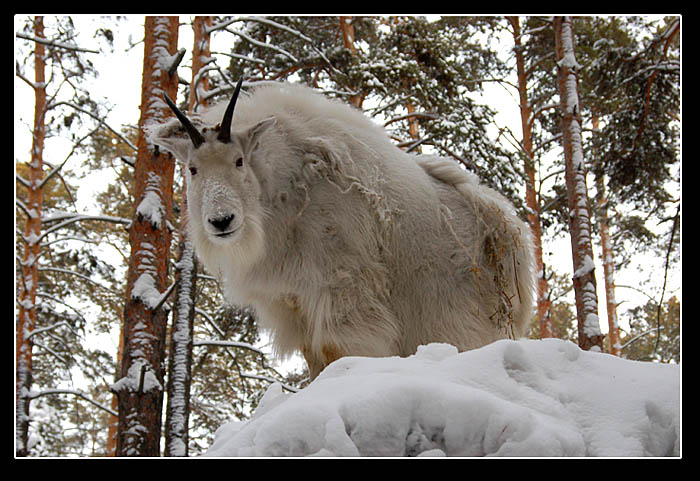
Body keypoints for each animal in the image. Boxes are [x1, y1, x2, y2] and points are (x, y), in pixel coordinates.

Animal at [150, 79, 532, 378]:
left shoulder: (341, 284)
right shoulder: (293, 299)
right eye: (193, 169)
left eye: (239, 161)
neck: (284, 192)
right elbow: (312, 357)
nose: (221, 221)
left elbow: (336, 349)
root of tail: (503, 222)